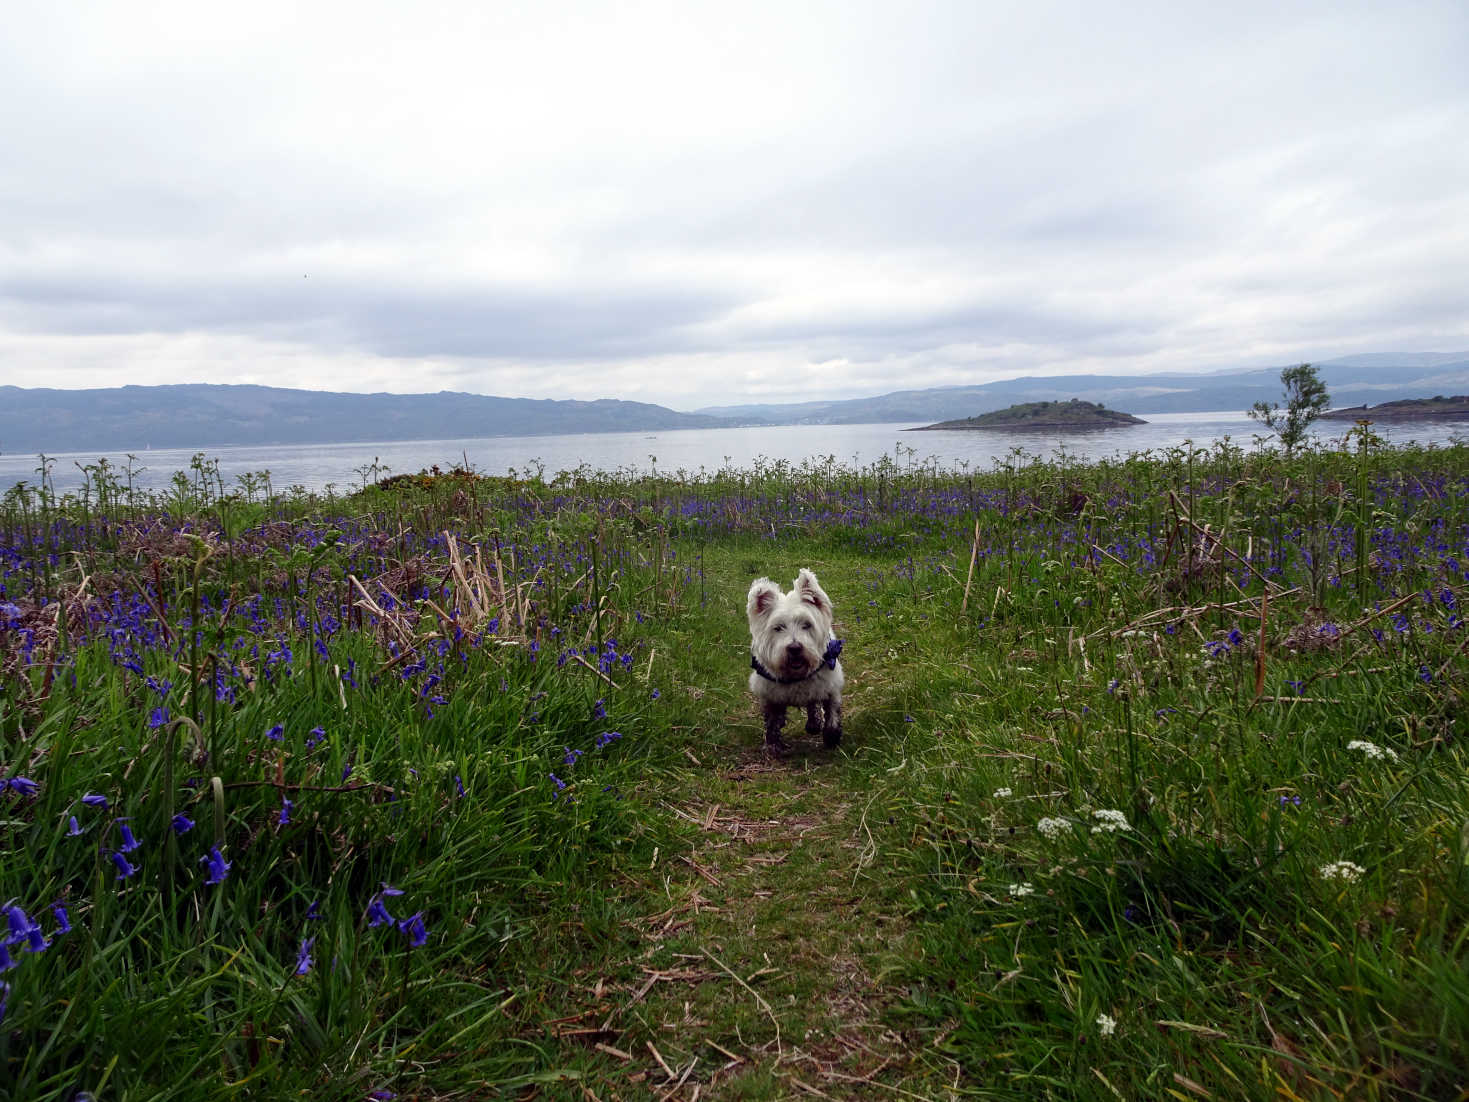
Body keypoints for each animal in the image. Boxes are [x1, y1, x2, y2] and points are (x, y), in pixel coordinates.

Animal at [752, 570, 846, 758]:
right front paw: (773, 745)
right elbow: (772, 721)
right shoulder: (769, 694)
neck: (795, 675)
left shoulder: (830, 686)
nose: (794, 648)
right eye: (778, 628)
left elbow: (832, 713)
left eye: (807, 624)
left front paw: (831, 737)